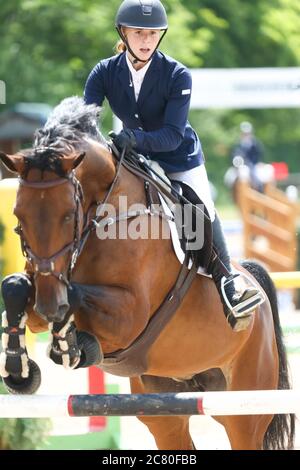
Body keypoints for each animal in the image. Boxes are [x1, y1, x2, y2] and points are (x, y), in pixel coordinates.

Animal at [0, 96, 294, 452]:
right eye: (18, 215)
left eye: (68, 214)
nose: (49, 306)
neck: (103, 216)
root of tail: (254, 284)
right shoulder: (42, 288)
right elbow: (14, 286)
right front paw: (19, 371)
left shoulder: (129, 315)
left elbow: (75, 293)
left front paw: (71, 345)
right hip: (165, 408)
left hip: (244, 410)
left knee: (243, 428)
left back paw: (236, 295)